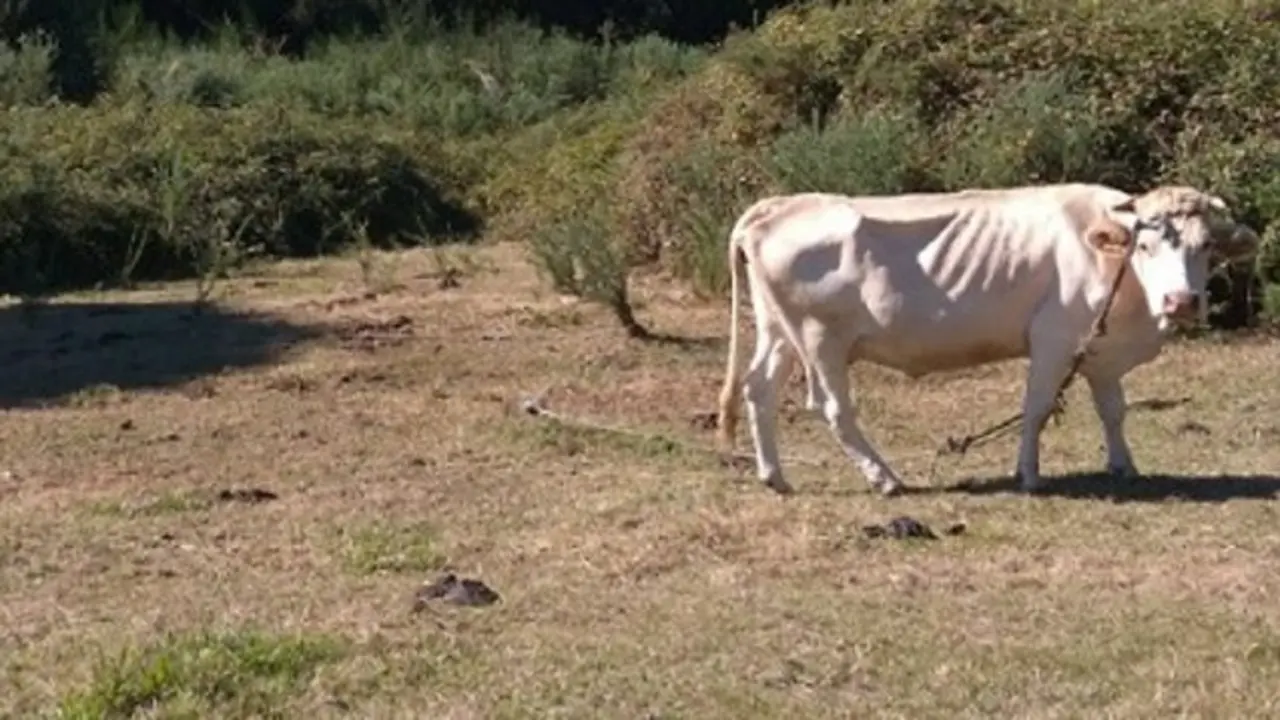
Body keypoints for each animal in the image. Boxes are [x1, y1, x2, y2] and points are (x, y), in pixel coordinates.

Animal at [715, 183, 1261, 496]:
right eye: (1144, 245)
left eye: (1205, 246)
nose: (1181, 301)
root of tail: (779, 207)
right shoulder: (1053, 339)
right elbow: (1037, 408)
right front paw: (1029, 474)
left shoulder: (1102, 351)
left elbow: (1113, 410)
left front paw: (1124, 466)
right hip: (820, 339)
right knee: (831, 407)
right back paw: (884, 478)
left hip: (778, 332)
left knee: (758, 390)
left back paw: (775, 476)